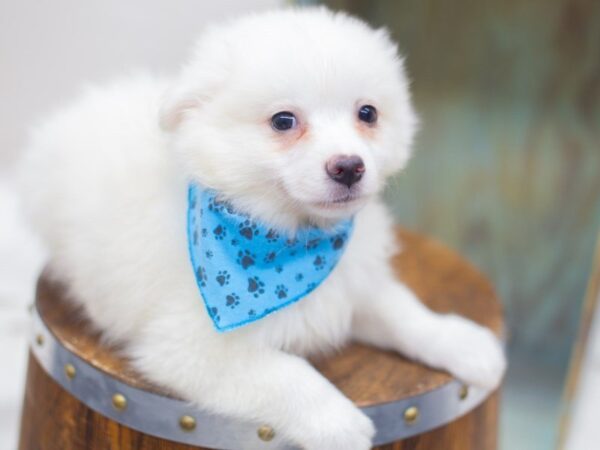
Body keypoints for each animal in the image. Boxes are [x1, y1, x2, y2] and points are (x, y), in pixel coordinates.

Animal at [18, 7, 504, 450]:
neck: (291, 238)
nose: (349, 166)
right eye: (283, 121)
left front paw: (462, 342)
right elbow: (288, 373)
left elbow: (402, 311)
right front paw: (337, 423)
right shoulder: (189, 347)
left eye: (368, 113)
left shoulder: (352, 285)